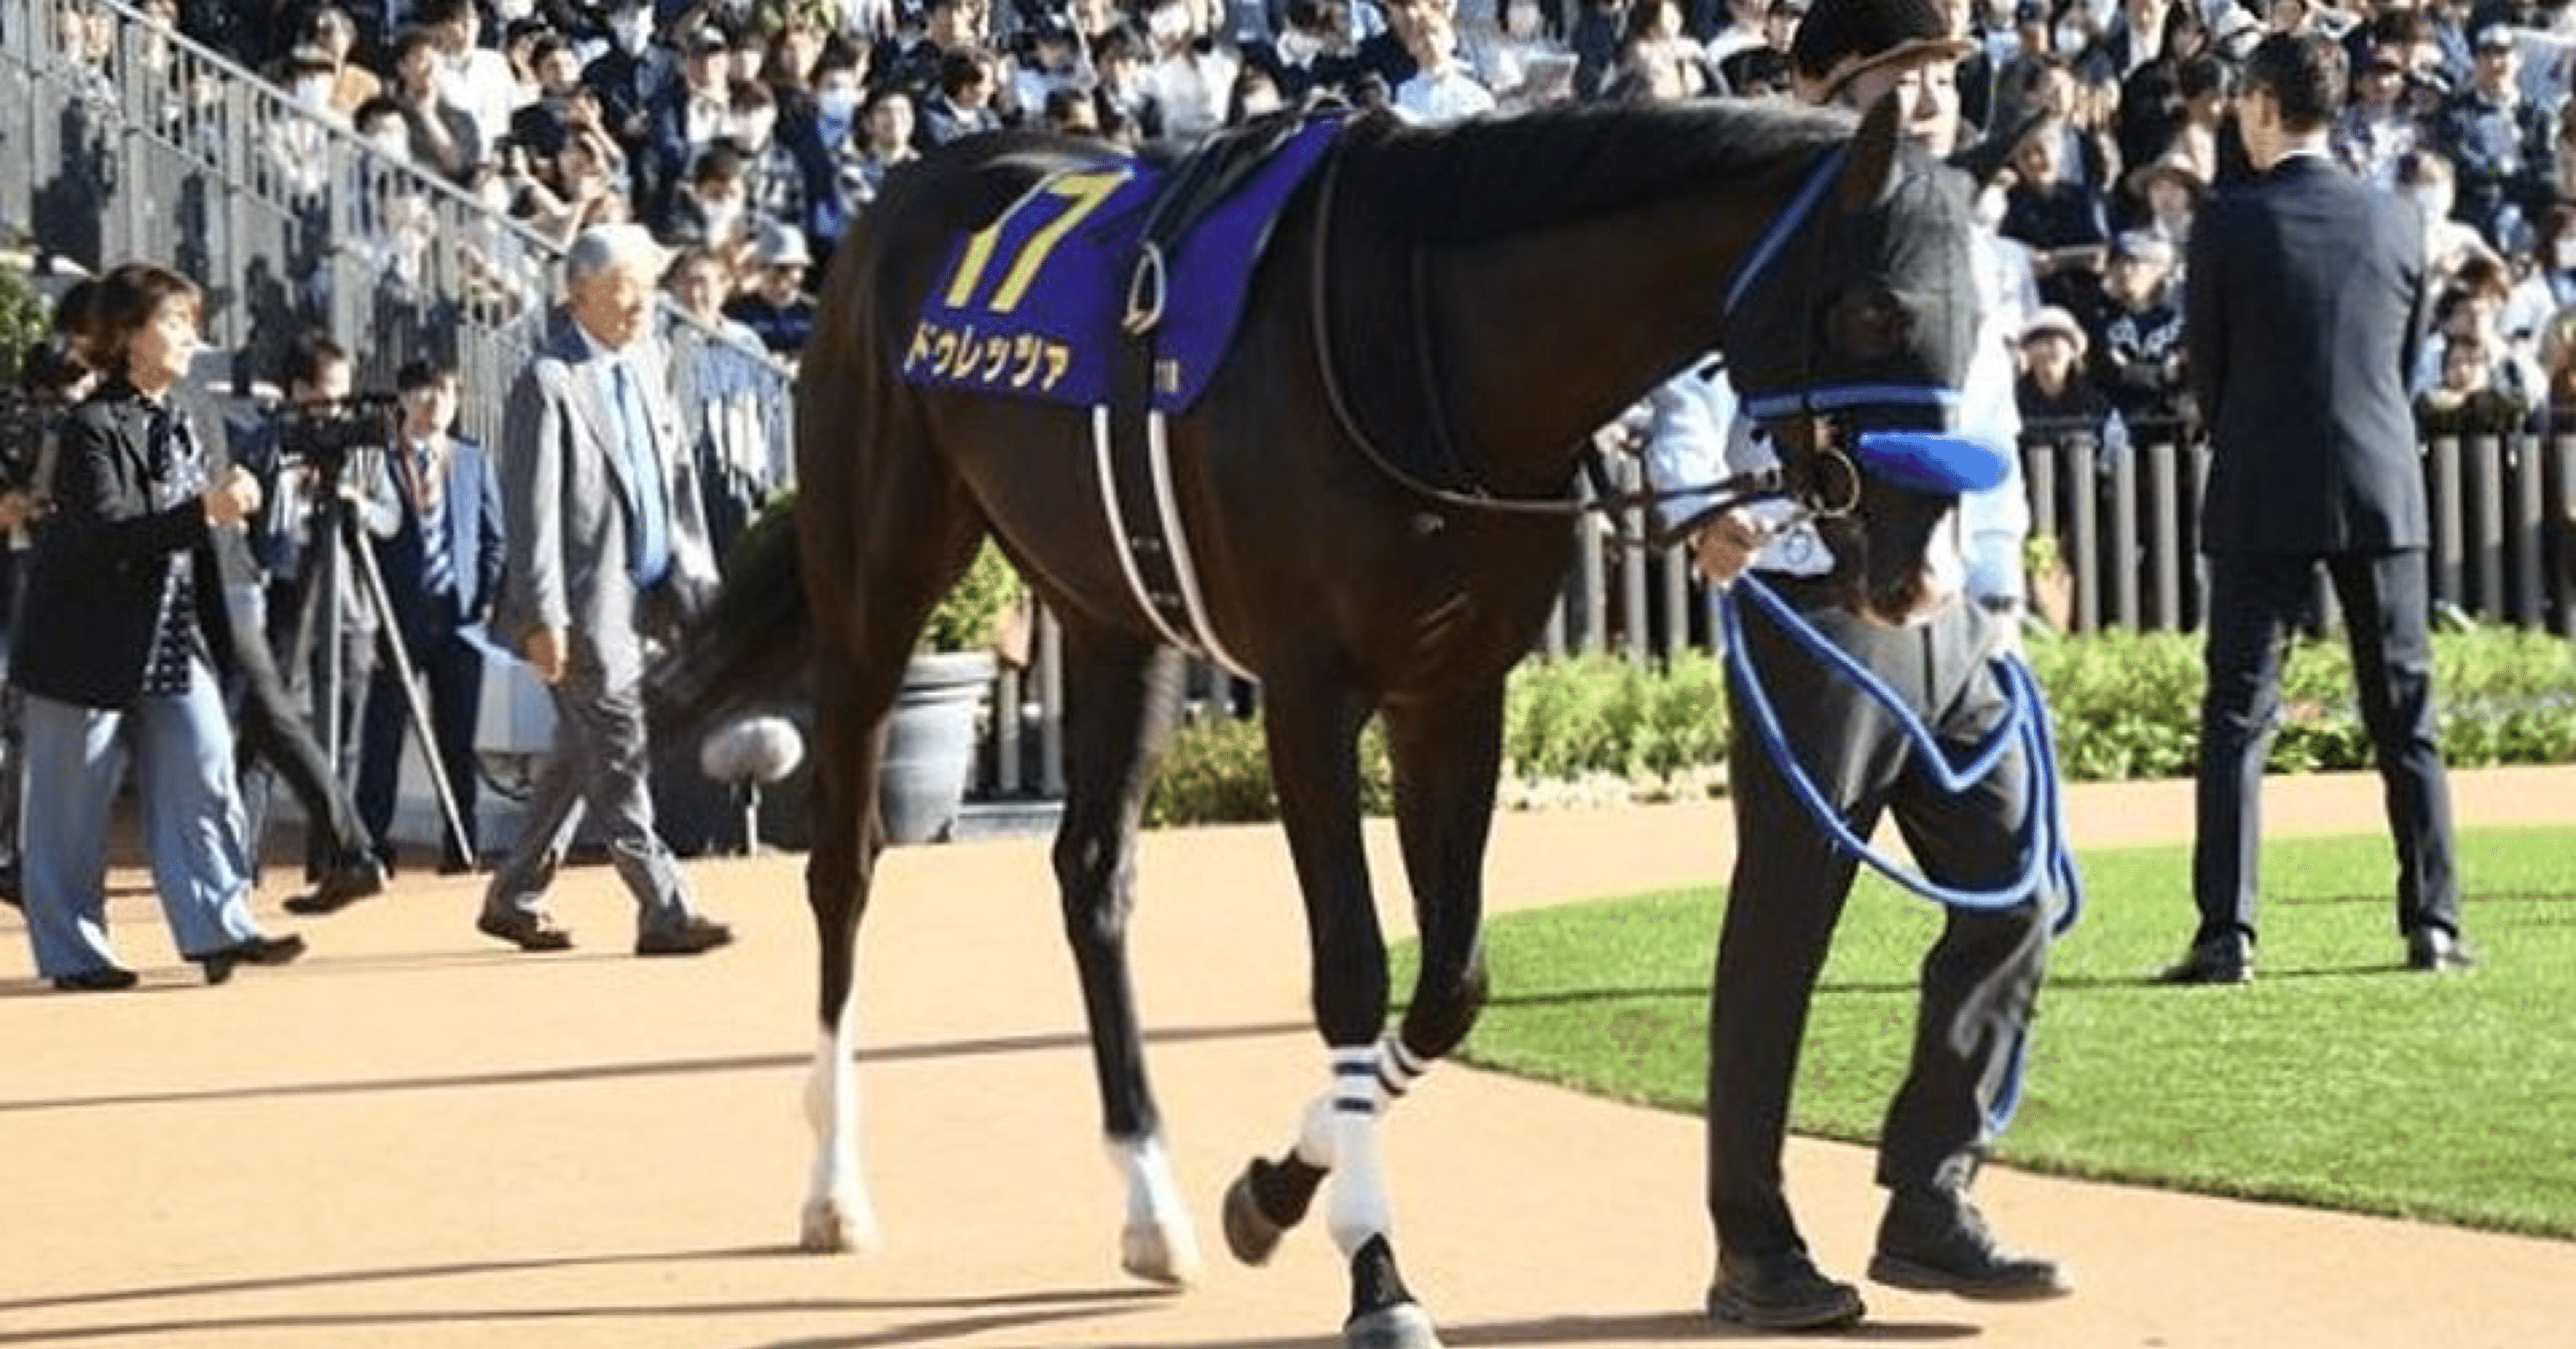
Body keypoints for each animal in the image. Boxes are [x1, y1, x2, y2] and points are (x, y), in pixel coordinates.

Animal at [658, 94, 1986, 1349]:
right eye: (1874, 309)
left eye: (1975, 314)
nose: (1920, 570)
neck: (1430, 349)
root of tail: (903, 198)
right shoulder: (1308, 691)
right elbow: (1351, 969)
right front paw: (1375, 1271)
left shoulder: (1453, 689)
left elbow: (1451, 984)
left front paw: (1270, 1191)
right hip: (875, 577)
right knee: (844, 861)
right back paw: (834, 1187)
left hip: (1113, 614)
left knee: (1092, 874)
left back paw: (1152, 1206)